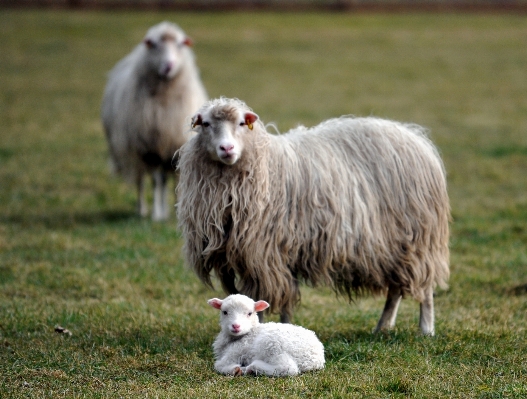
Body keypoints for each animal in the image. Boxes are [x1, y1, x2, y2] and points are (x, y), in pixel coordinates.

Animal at [100, 21, 207, 222]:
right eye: (155, 45)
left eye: (180, 45)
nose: (169, 66)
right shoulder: (150, 147)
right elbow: (156, 182)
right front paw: (157, 214)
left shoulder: (174, 145)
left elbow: (175, 182)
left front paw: (176, 212)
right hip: (137, 152)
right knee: (142, 181)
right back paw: (142, 209)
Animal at [177, 98, 450, 336]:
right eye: (206, 124)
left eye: (242, 123)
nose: (227, 148)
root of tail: (415, 137)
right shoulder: (262, 255)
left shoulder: (266, 254)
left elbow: (263, 302)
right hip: (394, 246)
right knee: (395, 290)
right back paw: (383, 327)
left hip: (418, 239)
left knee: (425, 289)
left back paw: (426, 330)